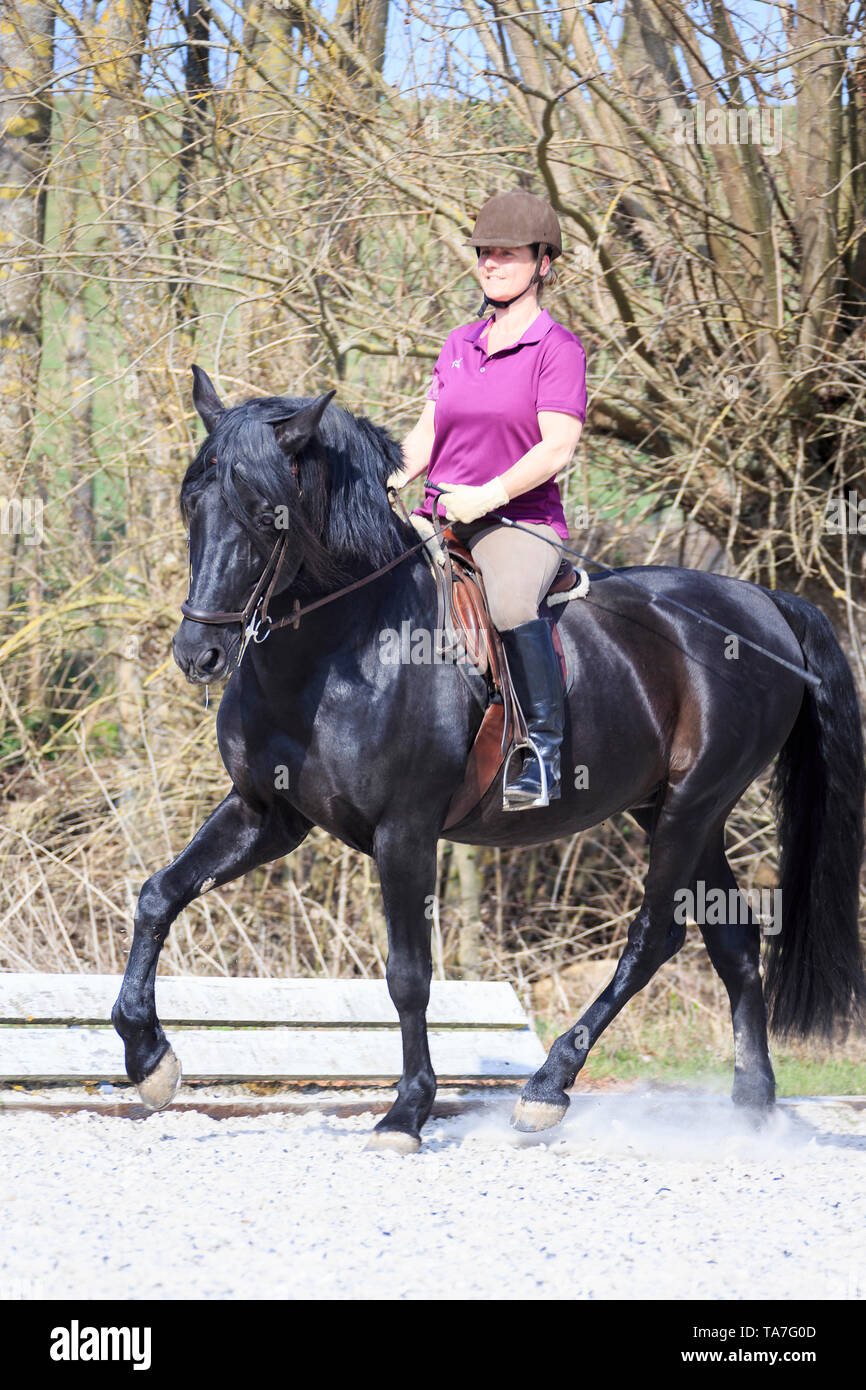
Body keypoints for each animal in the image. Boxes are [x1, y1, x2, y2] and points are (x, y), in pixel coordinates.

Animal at [111, 369, 861, 1150]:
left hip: (693, 805)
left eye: (267, 515)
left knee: (655, 936)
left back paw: (547, 1089)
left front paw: (407, 1112)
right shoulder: (266, 815)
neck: (339, 647)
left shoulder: (405, 832)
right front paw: (149, 1059)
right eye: (191, 503)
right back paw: (753, 1108)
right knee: (732, 940)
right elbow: (158, 895)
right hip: (675, 811)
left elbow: (408, 974)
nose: (199, 654)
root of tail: (764, 602)